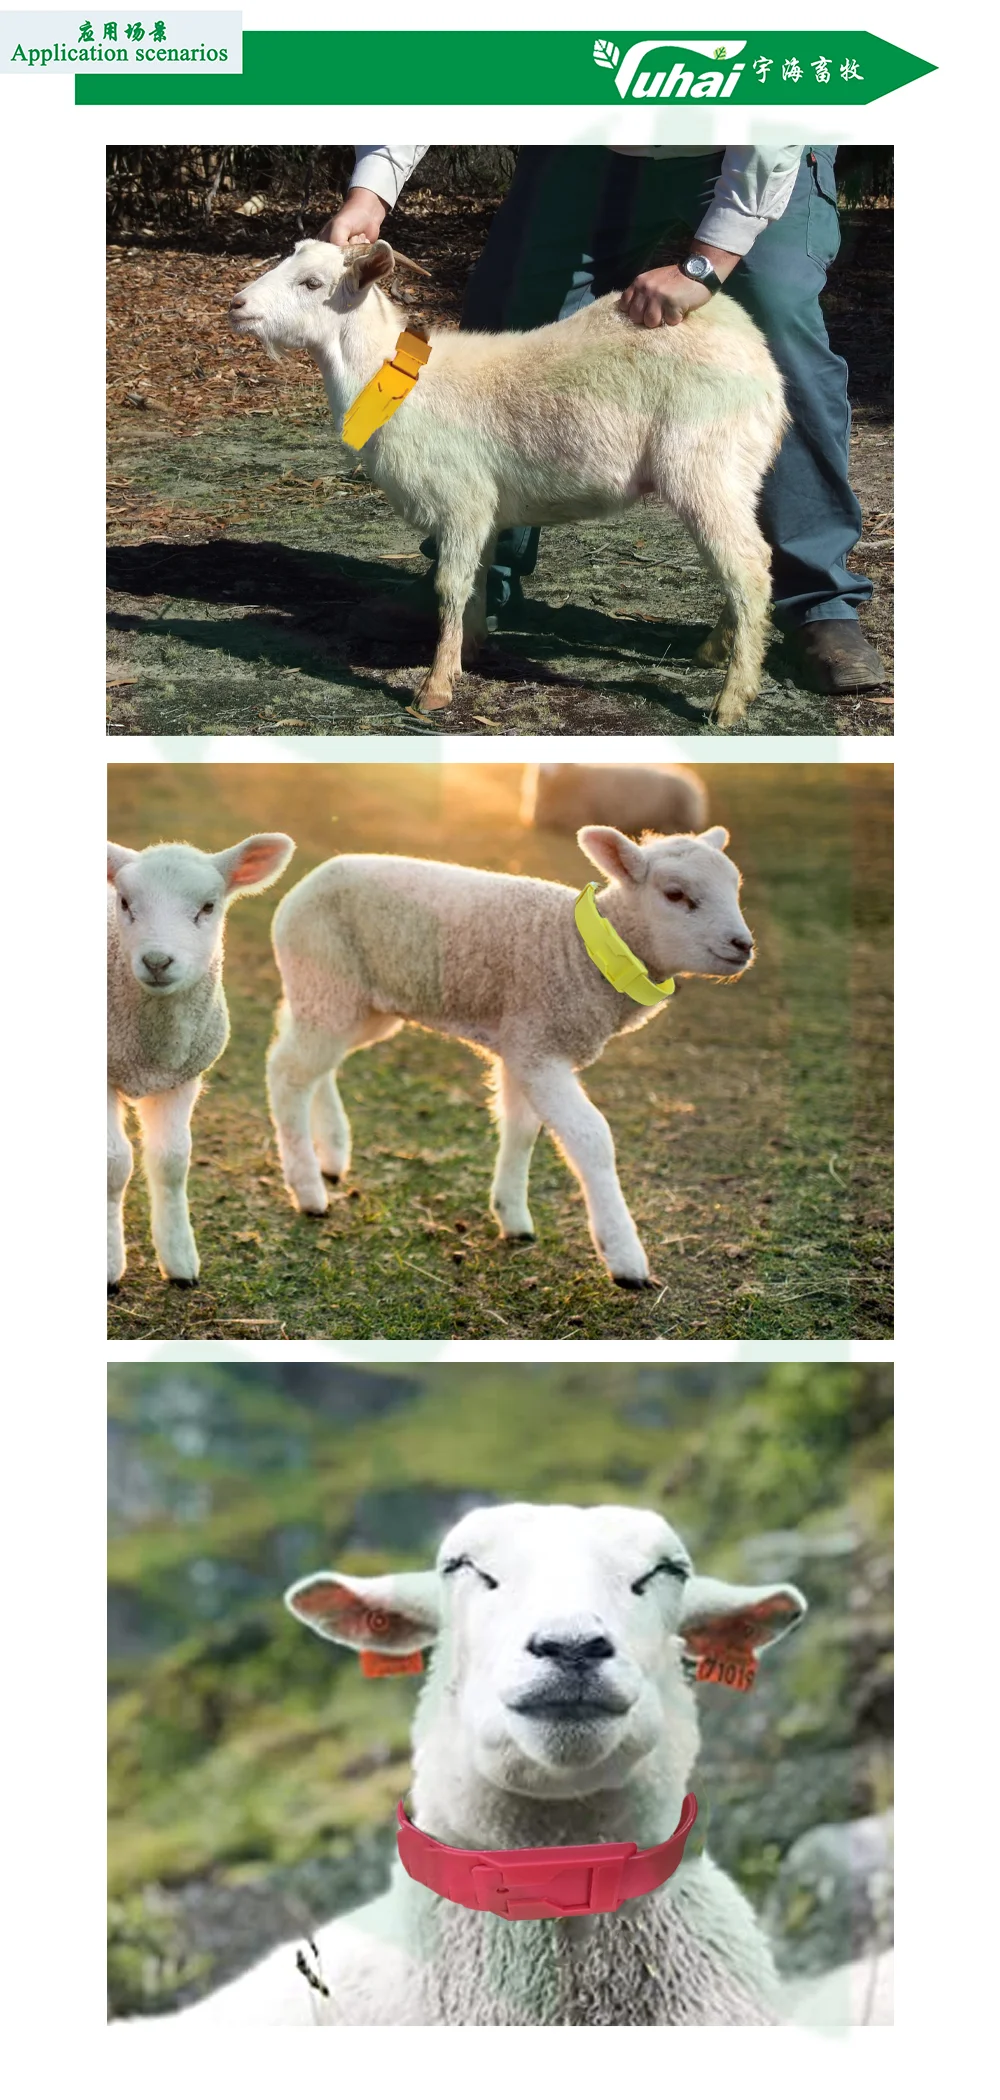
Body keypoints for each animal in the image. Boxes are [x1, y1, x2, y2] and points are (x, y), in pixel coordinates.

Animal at [108, 834, 294, 1289]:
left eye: (208, 907)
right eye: (125, 902)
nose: (157, 961)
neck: (151, 1049)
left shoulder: (182, 1076)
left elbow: (172, 1161)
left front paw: (179, 1262)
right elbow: (113, 1163)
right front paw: (108, 1265)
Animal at [228, 239, 787, 725]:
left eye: (312, 282)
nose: (237, 304)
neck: (395, 380)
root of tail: (761, 361)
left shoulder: (461, 500)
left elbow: (450, 585)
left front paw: (435, 687)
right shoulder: (483, 511)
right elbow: (475, 580)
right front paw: (468, 650)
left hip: (704, 467)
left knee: (748, 568)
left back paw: (732, 699)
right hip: (732, 477)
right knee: (748, 561)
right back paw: (716, 648)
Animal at [266, 823, 752, 1288]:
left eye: (735, 887)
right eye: (675, 894)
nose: (743, 944)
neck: (584, 952)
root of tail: (308, 881)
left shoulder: (523, 1046)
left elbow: (521, 1129)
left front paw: (512, 1217)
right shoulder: (538, 1048)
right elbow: (591, 1138)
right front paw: (624, 1257)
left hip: (356, 1003)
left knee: (314, 1062)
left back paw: (332, 1155)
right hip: (327, 980)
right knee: (288, 1072)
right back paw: (308, 1191)